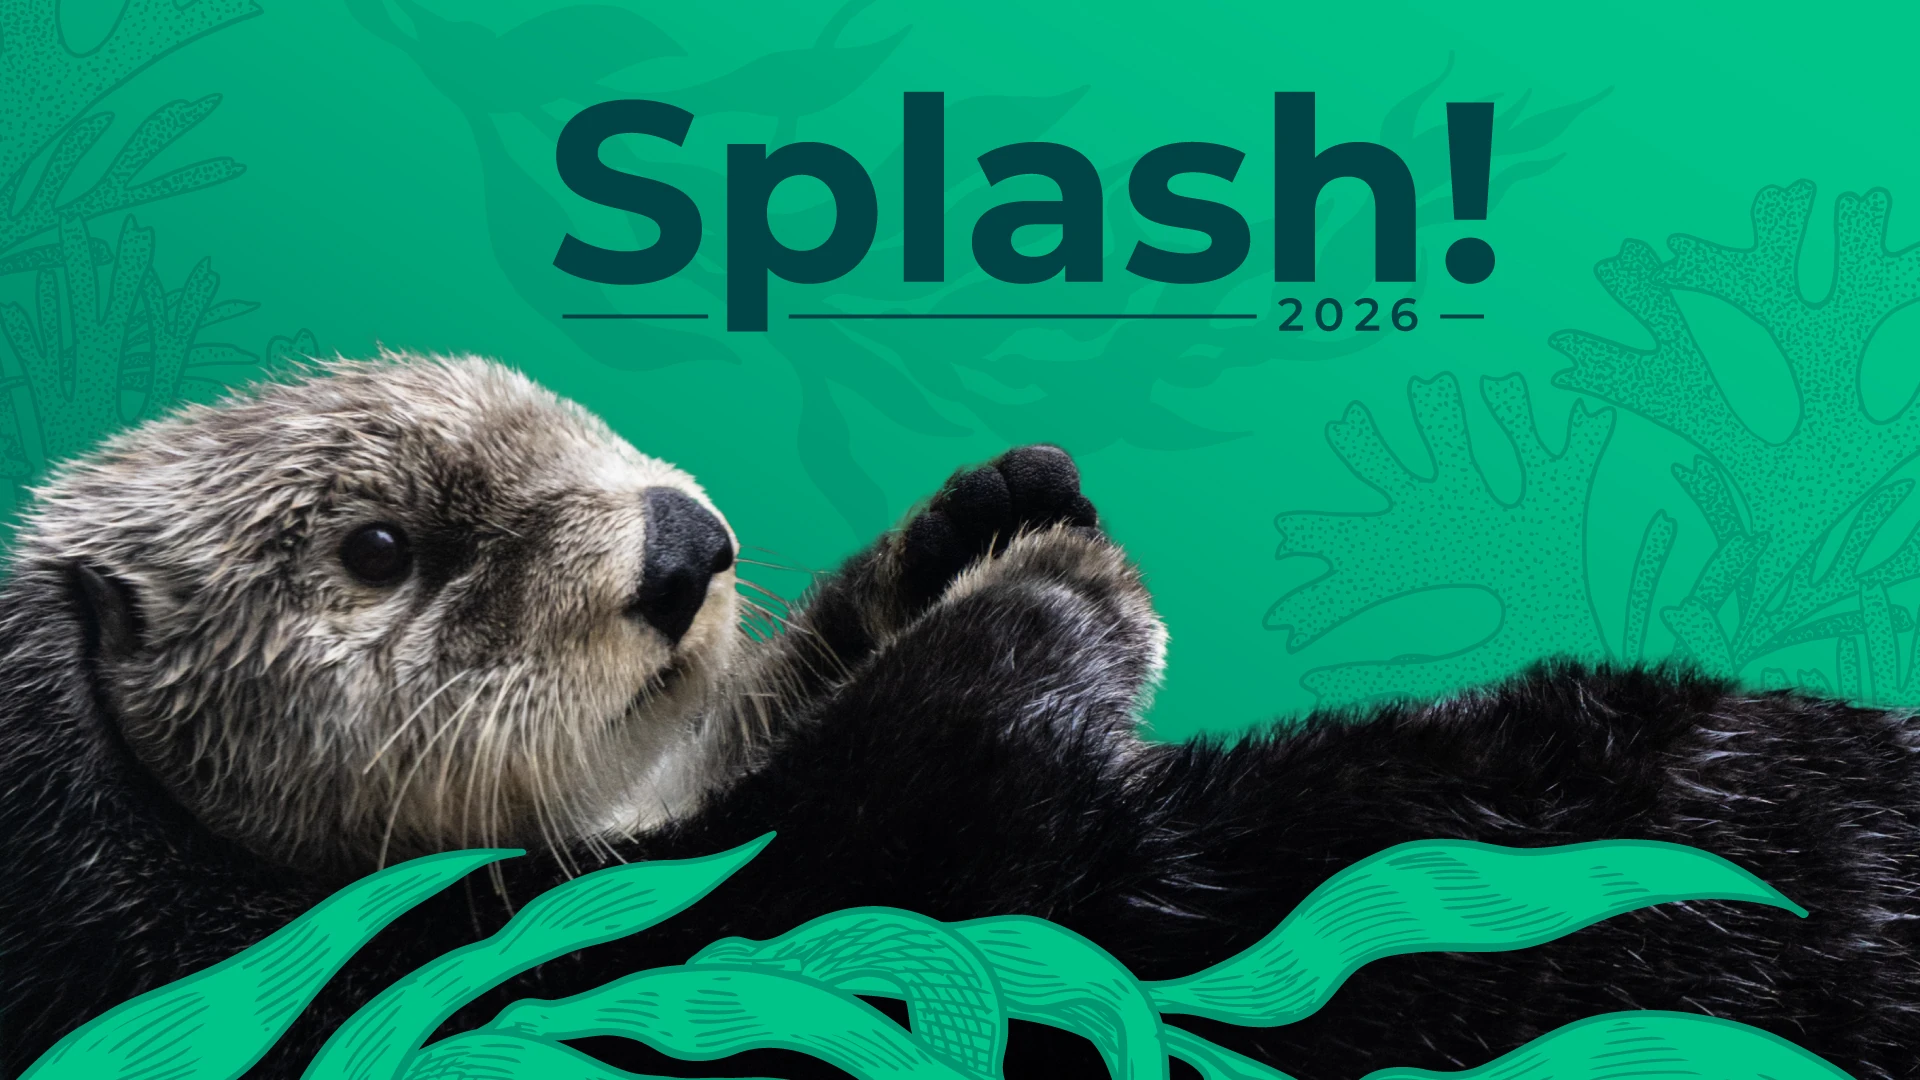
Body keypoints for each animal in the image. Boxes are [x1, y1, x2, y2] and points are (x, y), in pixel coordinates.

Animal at [0, 353, 1915, 1080]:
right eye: (382, 549)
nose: (683, 544)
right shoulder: (440, 1000)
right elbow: (895, 849)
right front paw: (1048, 602)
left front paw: (1001, 511)